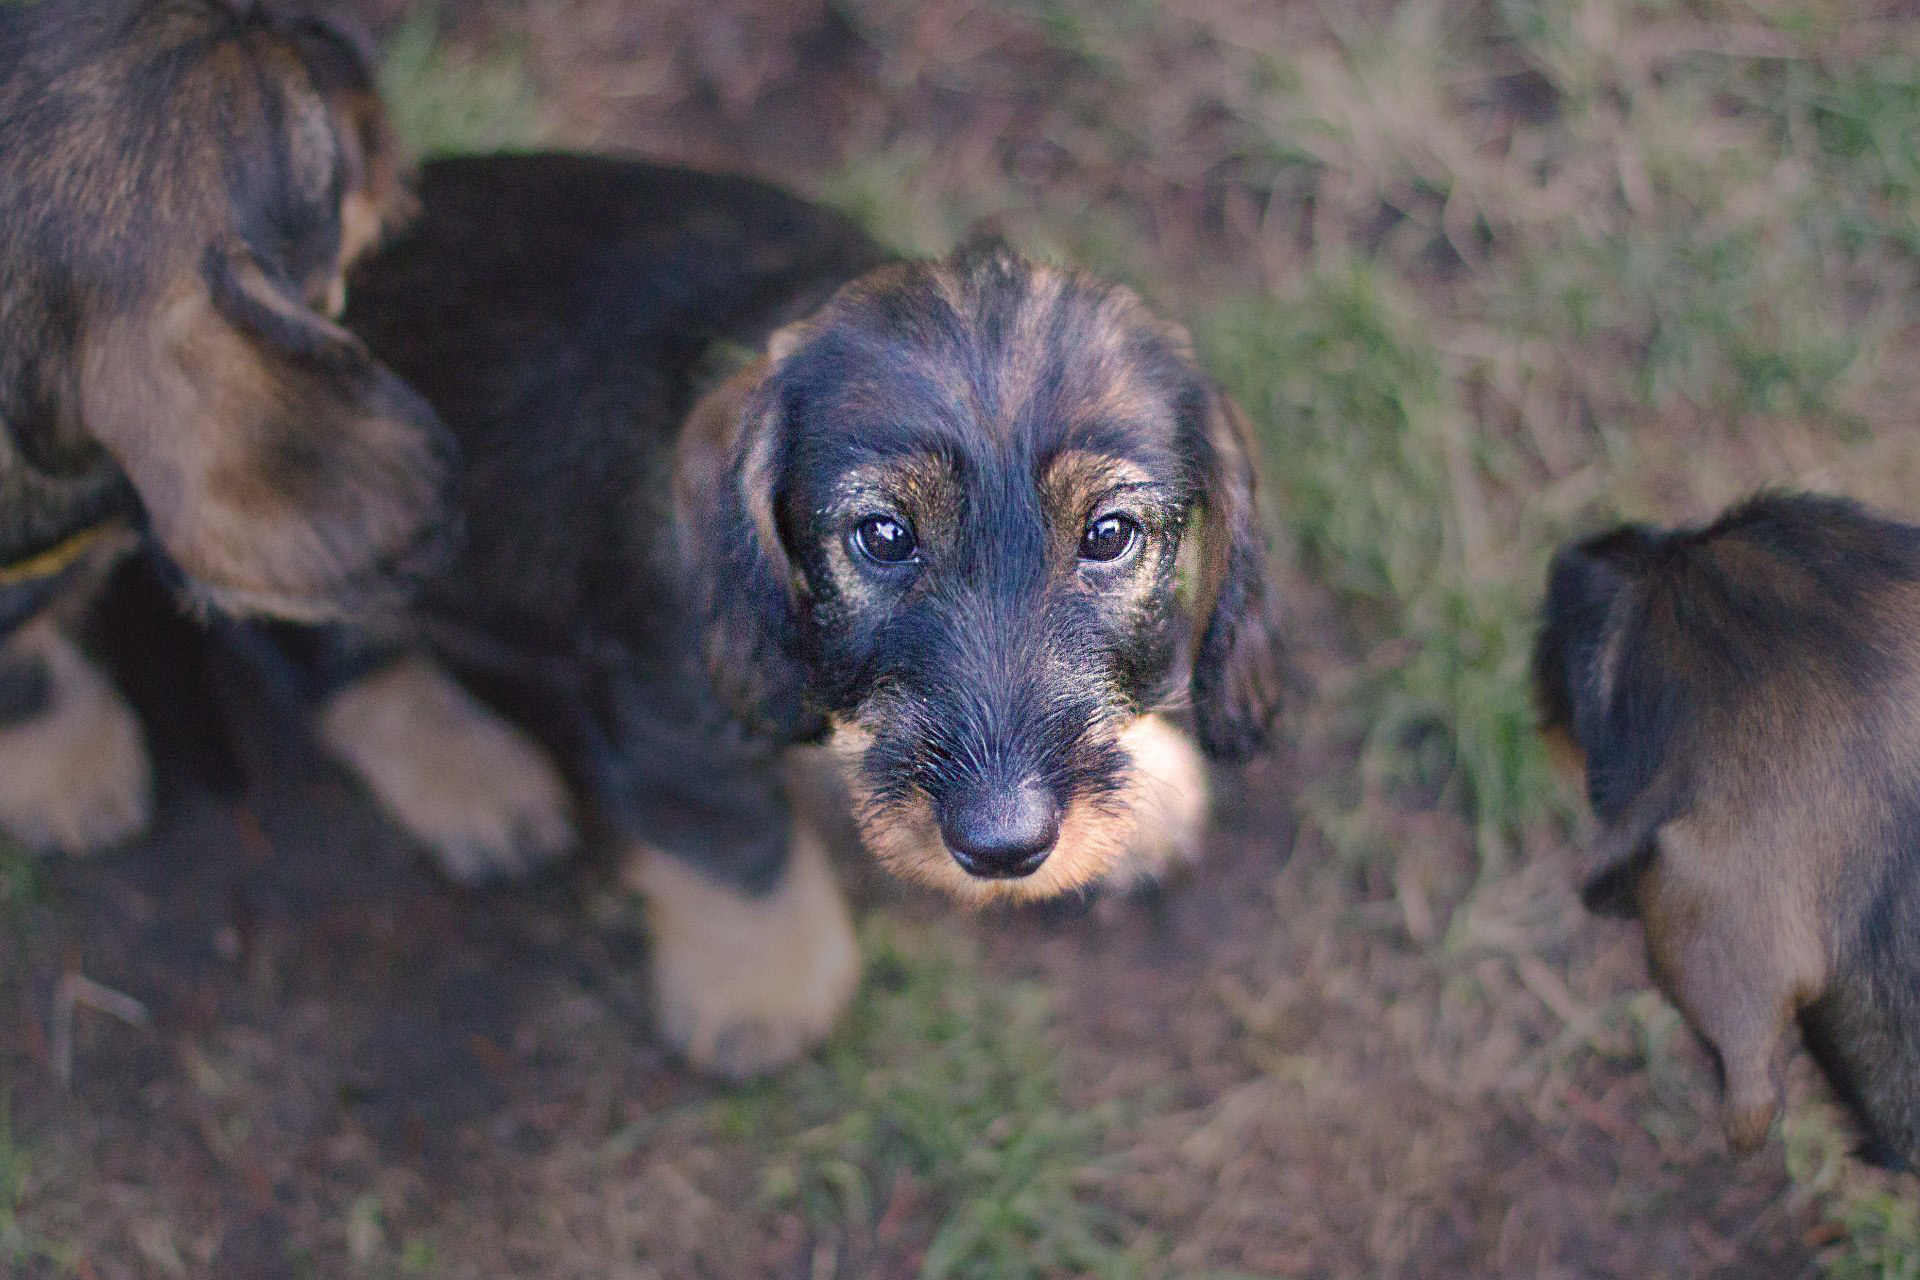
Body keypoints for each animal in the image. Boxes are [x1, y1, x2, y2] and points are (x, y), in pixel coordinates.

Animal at [303, 152, 1290, 1082]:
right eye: (884, 534)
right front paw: (758, 991)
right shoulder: (672, 721)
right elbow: (735, 845)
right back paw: (471, 777)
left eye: (1110, 533)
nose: (1004, 848)